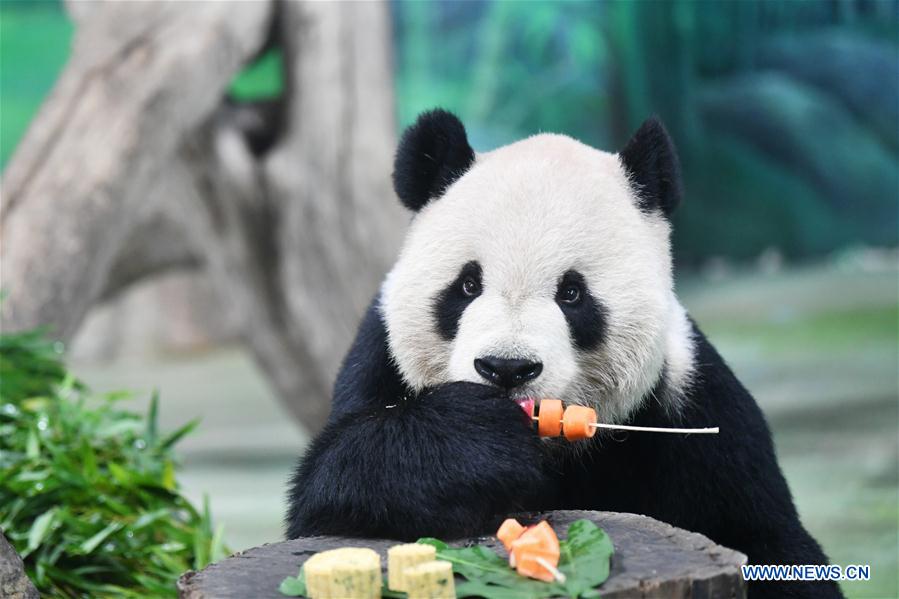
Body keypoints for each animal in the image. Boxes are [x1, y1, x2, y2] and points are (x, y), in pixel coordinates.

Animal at [288, 110, 844, 596]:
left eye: (572, 294)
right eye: (467, 285)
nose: (507, 368)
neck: (553, 451)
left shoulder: (694, 404)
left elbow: (772, 543)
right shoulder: (377, 361)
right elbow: (328, 489)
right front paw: (477, 440)